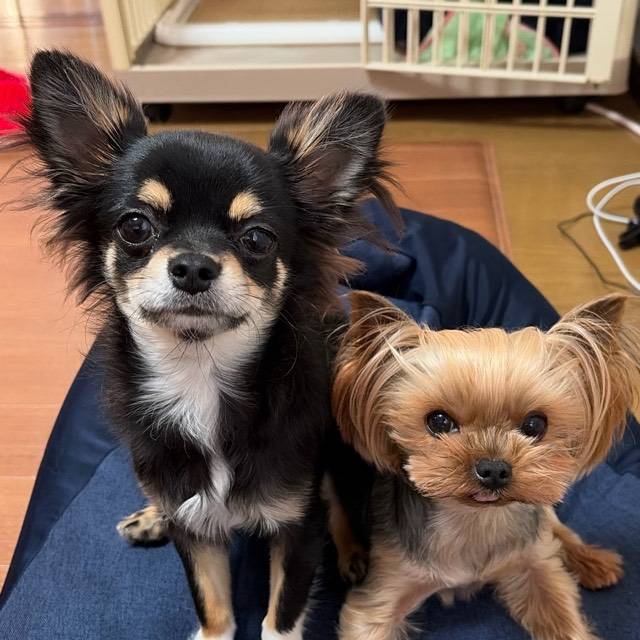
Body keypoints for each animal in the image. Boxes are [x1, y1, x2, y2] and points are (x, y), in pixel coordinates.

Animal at [12, 50, 397, 639]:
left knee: (340, 500)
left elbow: (281, 612)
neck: (199, 374)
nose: (193, 265)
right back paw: (151, 516)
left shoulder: (296, 526)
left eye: (257, 238)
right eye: (134, 226)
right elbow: (212, 604)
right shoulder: (194, 531)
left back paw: (354, 551)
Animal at [332, 291, 639, 640]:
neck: (475, 518)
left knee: (554, 524)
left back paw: (592, 561)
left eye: (535, 424)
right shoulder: (383, 592)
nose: (493, 469)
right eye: (438, 421)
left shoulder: (536, 565)